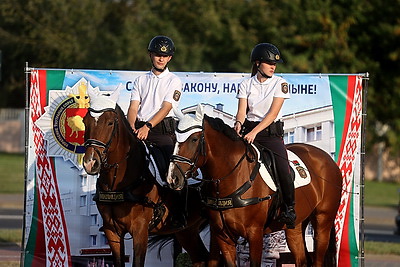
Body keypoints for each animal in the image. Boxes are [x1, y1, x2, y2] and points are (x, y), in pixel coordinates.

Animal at [81, 90, 209, 267]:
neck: (118, 181)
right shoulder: (112, 231)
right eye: (85, 121)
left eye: (110, 123)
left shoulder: (140, 229)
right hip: (187, 231)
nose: (91, 162)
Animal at [167, 106, 342, 267]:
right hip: (296, 227)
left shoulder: (254, 233)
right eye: (174, 139)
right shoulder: (223, 237)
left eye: (194, 139)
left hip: (322, 222)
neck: (232, 176)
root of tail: (328, 160)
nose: (173, 178)